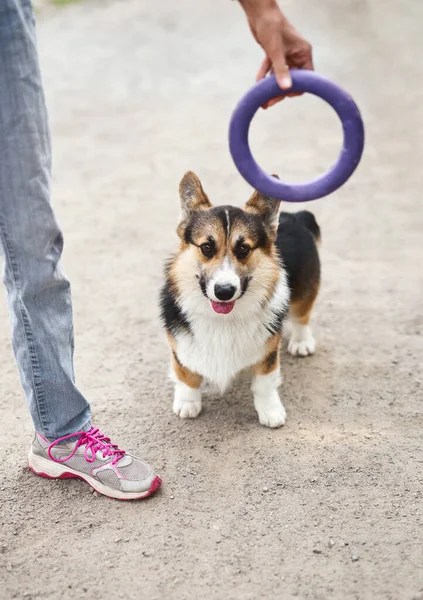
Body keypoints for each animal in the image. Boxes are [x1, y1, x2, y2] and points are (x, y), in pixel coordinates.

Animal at [160, 171, 322, 428]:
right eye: (207, 247)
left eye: (244, 249)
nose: (224, 291)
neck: (223, 320)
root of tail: (296, 216)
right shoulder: (180, 346)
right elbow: (186, 375)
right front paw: (187, 403)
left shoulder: (268, 352)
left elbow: (265, 383)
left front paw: (271, 412)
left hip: (303, 291)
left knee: (302, 315)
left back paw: (301, 342)